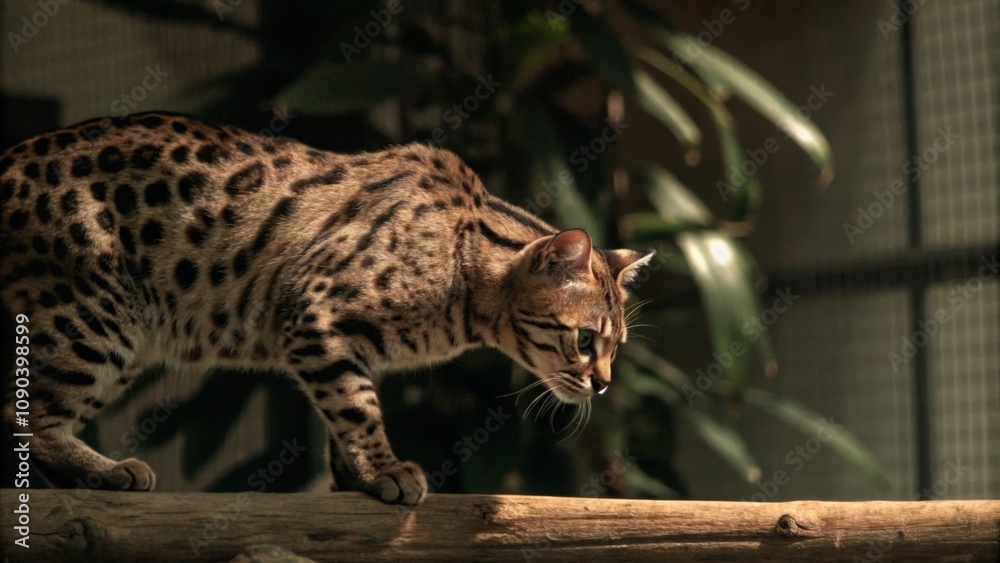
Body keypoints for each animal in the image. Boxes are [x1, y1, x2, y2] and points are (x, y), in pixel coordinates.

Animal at [0, 111, 652, 505]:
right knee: (25, 414)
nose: (602, 384)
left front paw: (352, 478)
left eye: (617, 346)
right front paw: (383, 471)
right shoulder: (315, 311)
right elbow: (356, 407)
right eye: (586, 339)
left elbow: (345, 412)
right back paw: (107, 471)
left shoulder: (346, 341)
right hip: (98, 317)